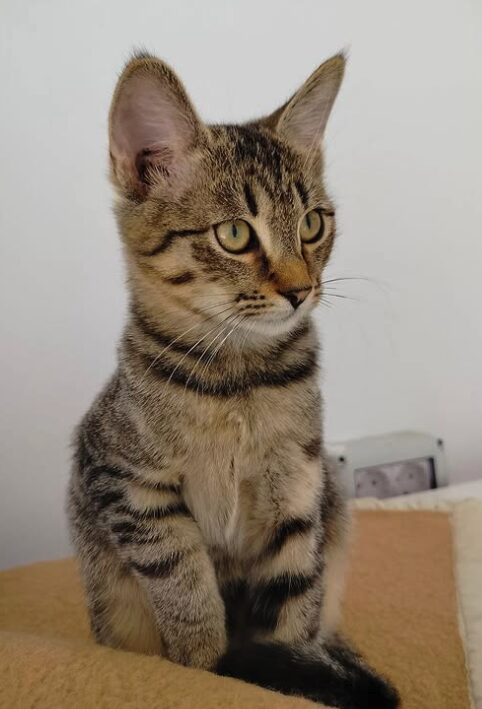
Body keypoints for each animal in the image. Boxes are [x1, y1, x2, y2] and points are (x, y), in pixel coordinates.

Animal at [68, 52, 400, 704]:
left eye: (313, 224)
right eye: (235, 234)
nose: (300, 290)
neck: (237, 382)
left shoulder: (299, 493)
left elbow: (296, 605)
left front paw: (293, 671)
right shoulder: (127, 484)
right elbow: (185, 588)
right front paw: (206, 667)